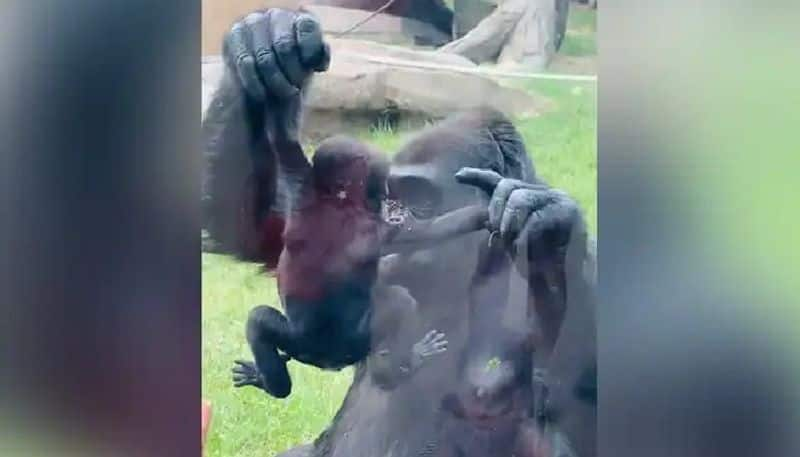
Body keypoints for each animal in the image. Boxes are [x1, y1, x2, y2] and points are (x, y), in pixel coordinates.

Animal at [231, 135, 450, 396]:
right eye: (378, 189)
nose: (386, 201)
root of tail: (328, 360)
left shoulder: (304, 190)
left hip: (325, 343)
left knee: (259, 321)